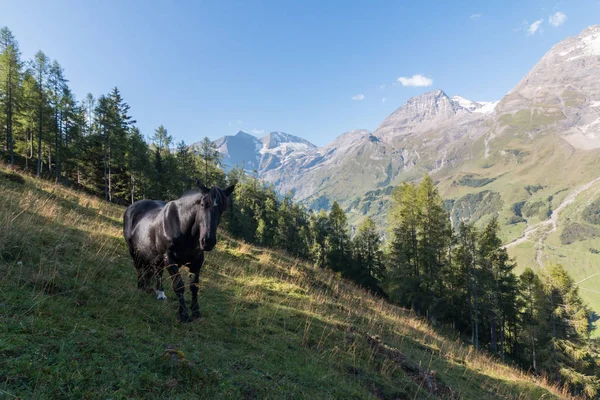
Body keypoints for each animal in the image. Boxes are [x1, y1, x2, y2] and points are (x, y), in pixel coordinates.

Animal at [122, 180, 234, 322]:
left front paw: (196, 312)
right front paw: (184, 314)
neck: (183, 227)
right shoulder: (170, 259)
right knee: (139, 268)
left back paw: (158, 293)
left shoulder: (197, 262)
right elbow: (179, 285)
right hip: (134, 251)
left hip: (155, 257)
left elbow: (194, 287)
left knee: (156, 272)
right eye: (203, 204)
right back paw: (141, 287)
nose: (208, 241)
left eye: (223, 209)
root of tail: (132, 207)